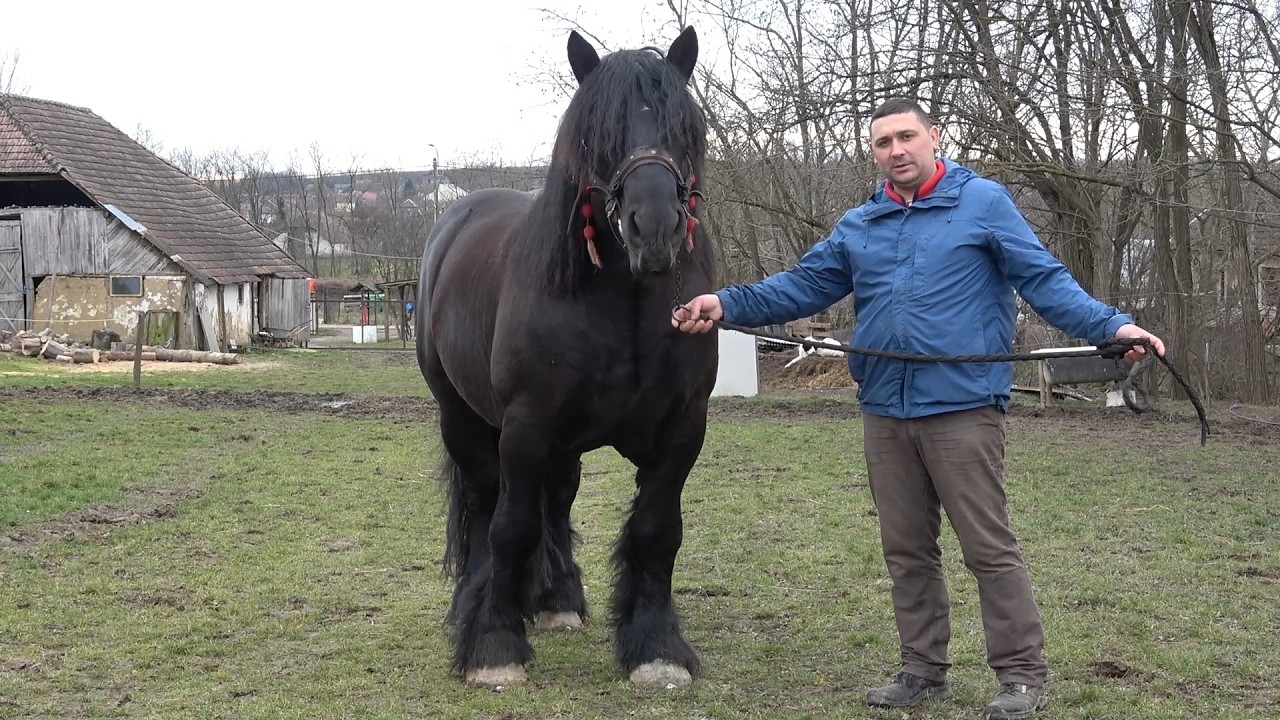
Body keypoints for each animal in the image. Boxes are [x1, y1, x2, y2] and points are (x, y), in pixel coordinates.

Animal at [415, 27, 718, 689]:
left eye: (686, 128)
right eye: (596, 133)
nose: (654, 229)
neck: (624, 306)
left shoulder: (682, 430)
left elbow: (657, 531)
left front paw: (655, 646)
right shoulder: (526, 427)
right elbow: (510, 527)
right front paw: (494, 645)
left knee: (555, 498)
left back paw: (556, 600)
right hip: (464, 419)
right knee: (485, 506)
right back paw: (475, 604)